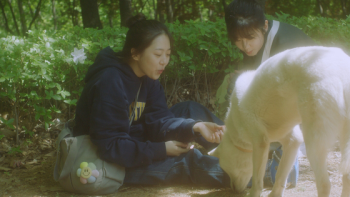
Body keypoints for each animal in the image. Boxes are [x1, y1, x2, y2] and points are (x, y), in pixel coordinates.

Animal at [209, 46, 350, 197]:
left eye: (227, 170)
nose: (233, 189)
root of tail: (342, 71)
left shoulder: (260, 143)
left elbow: (258, 183)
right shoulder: (293, 141)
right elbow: (281, 176)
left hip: (314, 145)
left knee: (325, 184)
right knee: (346, 177)